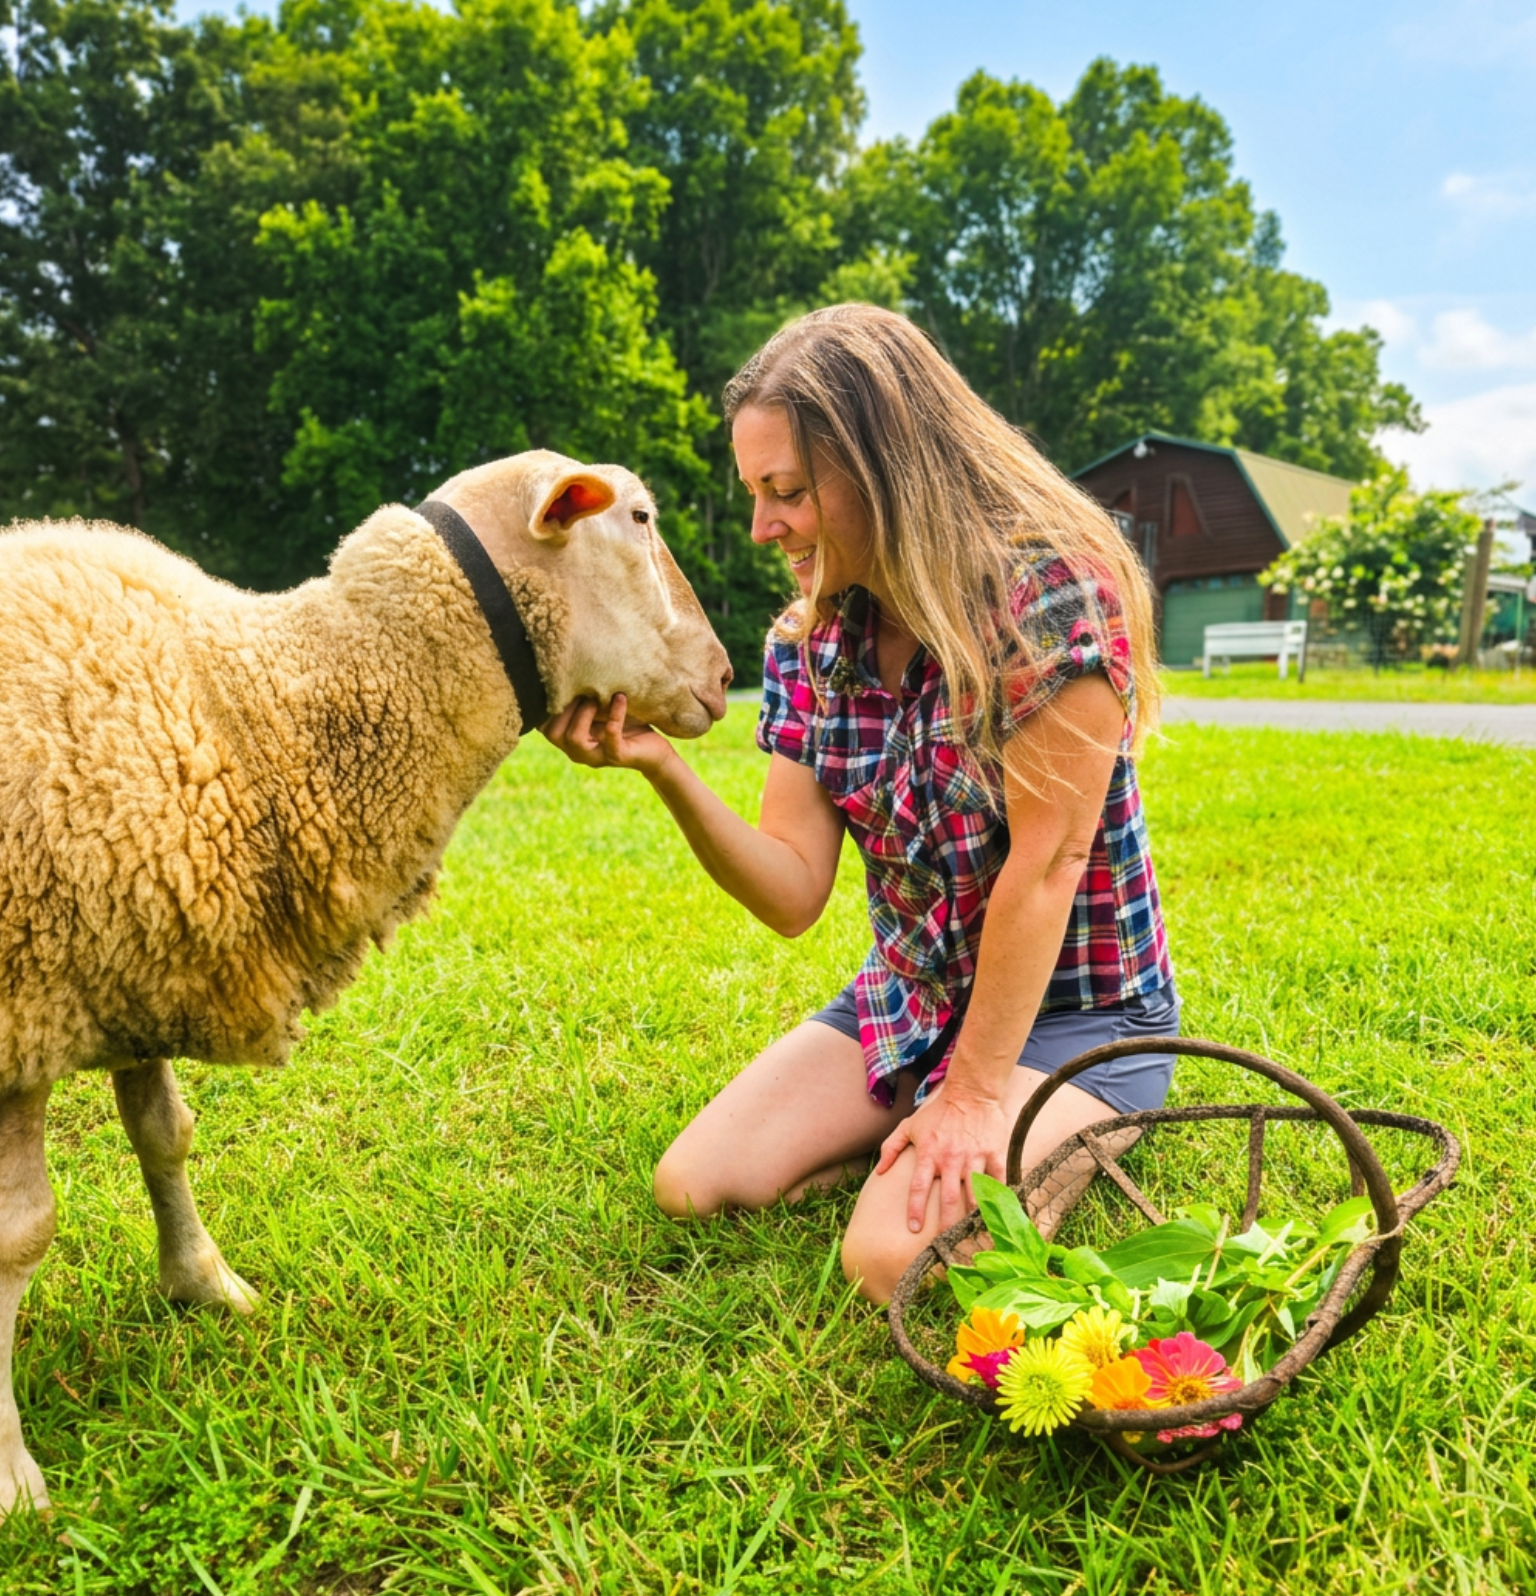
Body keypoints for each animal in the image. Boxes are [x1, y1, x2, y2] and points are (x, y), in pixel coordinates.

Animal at [0, 449, 732, 1515]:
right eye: (638, 517)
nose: (725, 677)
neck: (253, 709)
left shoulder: (133, 949)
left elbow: (164, 1135)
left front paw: (204, 1286)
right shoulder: (33, 1008)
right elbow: (21, 1234)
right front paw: (13, 1477)